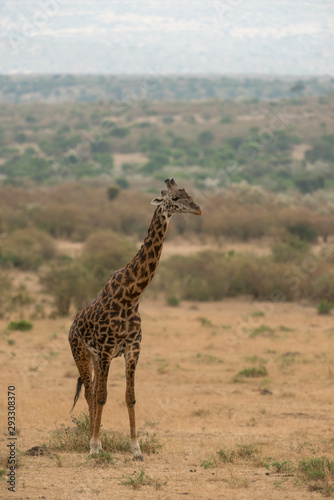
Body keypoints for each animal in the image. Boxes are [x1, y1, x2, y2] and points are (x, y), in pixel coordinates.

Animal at [69, 178, 202, 458]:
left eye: (188, 194)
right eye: (175, 198)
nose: (198, 209)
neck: (131, 294)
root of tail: (72, 325)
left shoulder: (133, 348)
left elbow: (130, 396)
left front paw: (136, 449)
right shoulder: (107, 348)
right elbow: (102, 396)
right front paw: (95, 447)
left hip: (95, 358)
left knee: (93, 390)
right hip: (81, 353)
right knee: (90, 392)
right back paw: (93, 442)